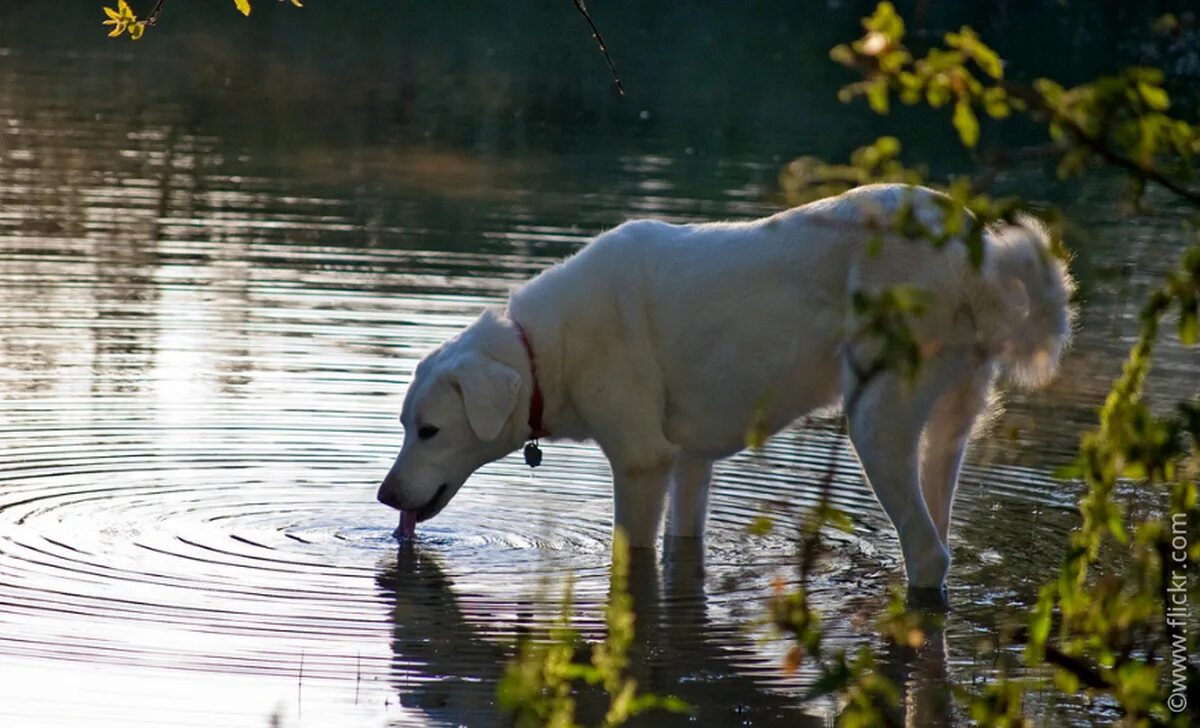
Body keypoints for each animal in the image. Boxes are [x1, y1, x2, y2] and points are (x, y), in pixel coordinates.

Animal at [379, 184, 1075, 590]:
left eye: (430, 431)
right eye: (405, 427)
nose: (385, 498)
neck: (546, 346)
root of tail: (976, 254)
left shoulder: (641, 464)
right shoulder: (690, 463)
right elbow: (679, 546)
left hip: (877, 425)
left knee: (926, 553)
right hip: (946, 427)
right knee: (940, 538)